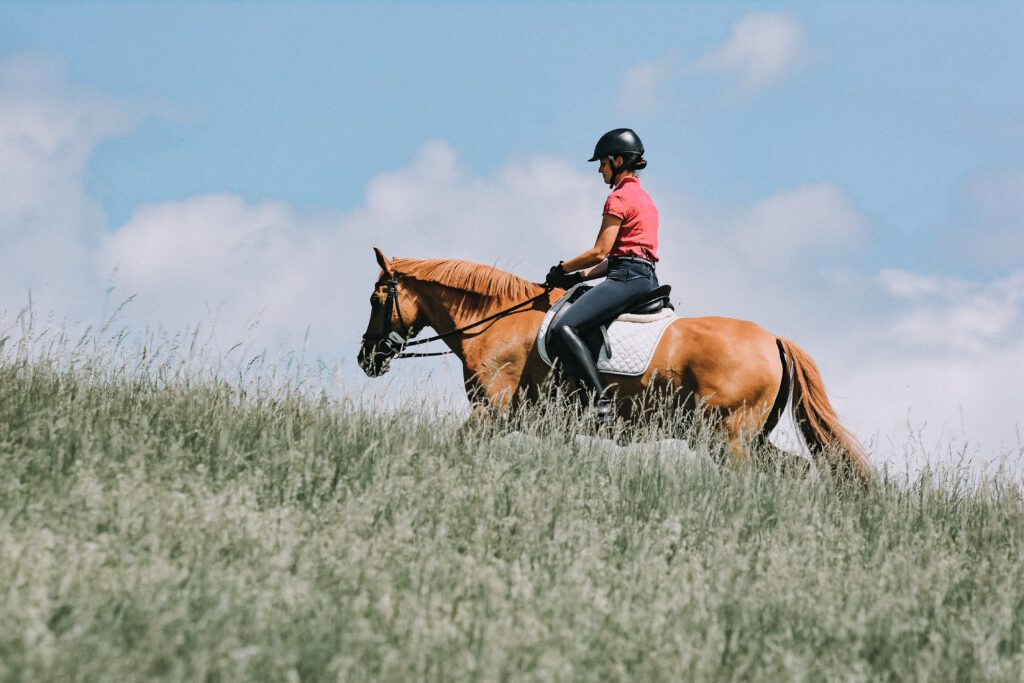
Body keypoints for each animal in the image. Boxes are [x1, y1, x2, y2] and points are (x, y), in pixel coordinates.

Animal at [358, 248, 872, 483]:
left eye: (375, 300)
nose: (367, 358)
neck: (497, 322)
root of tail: (773, 339)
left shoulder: (490, 414)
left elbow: (455, 445)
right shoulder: (550, 426)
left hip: (730, 437)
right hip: (746, 437)